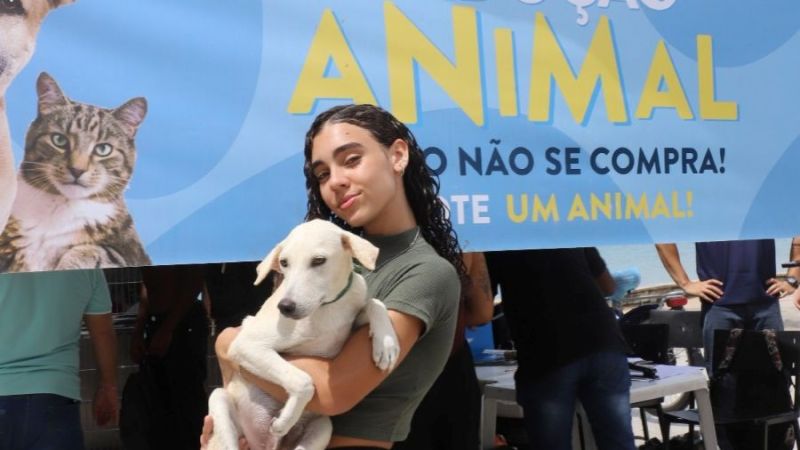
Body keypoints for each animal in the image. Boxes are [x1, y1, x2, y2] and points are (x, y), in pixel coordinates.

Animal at [206, 220, 400, 448]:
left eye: (319, 260)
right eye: (284, 262)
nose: (285, 307)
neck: (326, 308)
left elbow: (375, 303)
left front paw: (386, 343)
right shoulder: (246, 344)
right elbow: (303, 380)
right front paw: (284, 421)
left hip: (323, 427)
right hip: (219, 400)